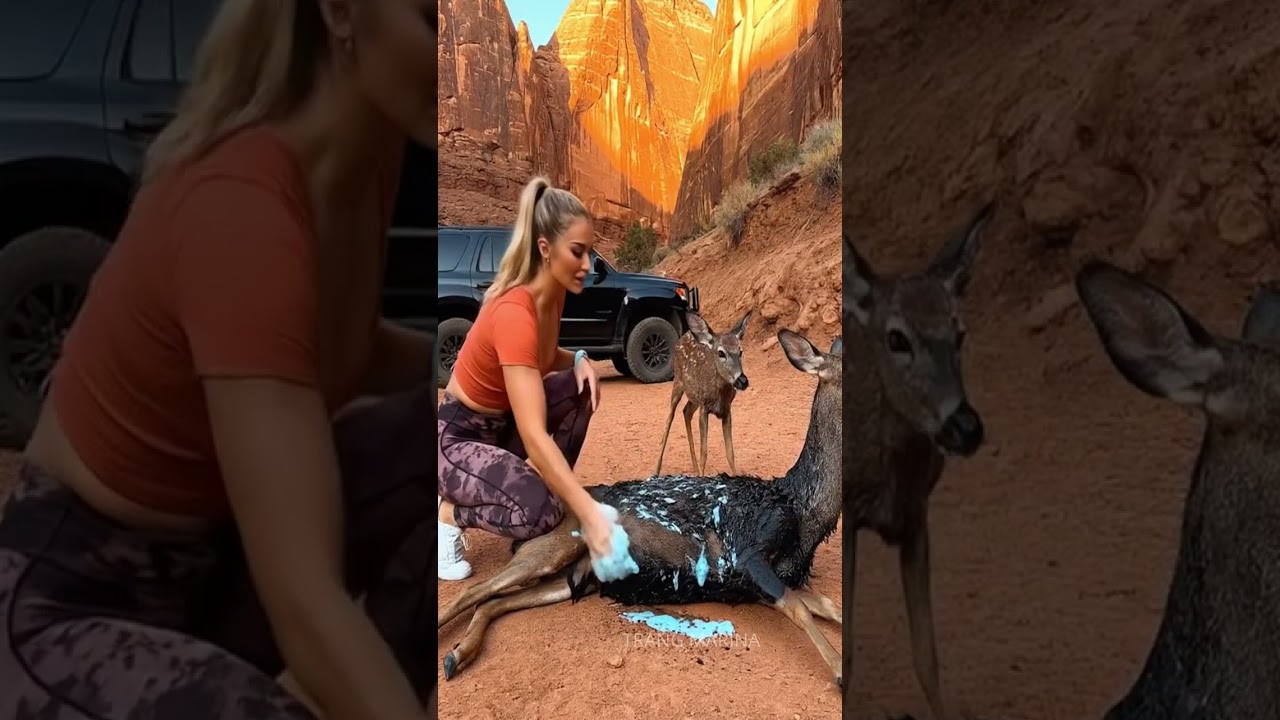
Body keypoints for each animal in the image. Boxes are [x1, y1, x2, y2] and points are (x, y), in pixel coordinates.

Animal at [438, 328, 844, 688]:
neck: (799, 506)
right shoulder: (747, 554)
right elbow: (800, 608)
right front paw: (840, 670)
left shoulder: (765, 579)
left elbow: (828, 605)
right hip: (554, 547)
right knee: (472, 593)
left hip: (570, 578)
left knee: (493, 602)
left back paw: (458, 654)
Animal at [654, 309, 753, 476]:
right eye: (721, 353)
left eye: (740, 351)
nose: (742, 381)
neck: (719, 394)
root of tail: (685, 334)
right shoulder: (704, 407)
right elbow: (704, 453)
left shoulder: (727, 410)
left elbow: (730, 453)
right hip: (678, 383)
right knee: (670, 417)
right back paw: (656, 469)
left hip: (694, 398)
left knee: (686, 411)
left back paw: (694, 469)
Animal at [841, 202, 994, 720]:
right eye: (897, 338)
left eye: (960, 332)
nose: (966, 426)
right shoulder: (849, 513)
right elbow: (848, 652)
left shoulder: (917, 517)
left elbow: (927, 655)